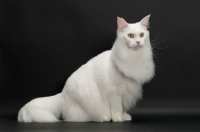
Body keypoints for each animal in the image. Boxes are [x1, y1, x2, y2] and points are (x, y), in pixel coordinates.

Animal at [17, 14, 155, 122]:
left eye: (142, 35)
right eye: (131, 36)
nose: (138, 42)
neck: (134, 57)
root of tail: (62, 94)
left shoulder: (128, 92)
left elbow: (123, 107)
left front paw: (124, 116)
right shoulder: (116, 92)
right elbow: (117, 108)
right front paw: (118, 118)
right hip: (88, 101)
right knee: (83, 117)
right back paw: (104, 117)